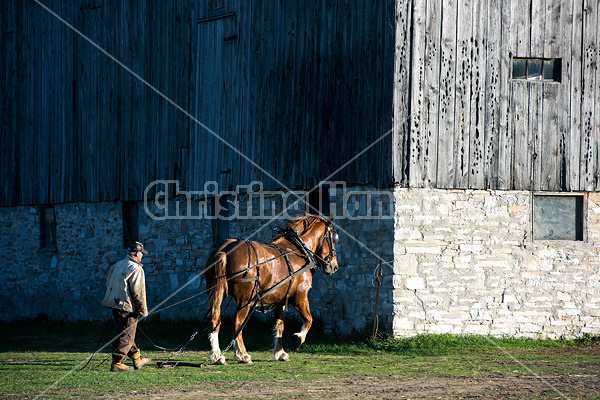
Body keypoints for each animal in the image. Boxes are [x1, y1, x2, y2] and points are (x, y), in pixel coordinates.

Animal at [205, 214, 338, 364]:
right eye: (333, 238)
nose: (335, 266)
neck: (298, 250)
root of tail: (224, 251)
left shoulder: (280, 300)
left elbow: (279, 325)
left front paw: (280, 352)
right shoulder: (300, 296)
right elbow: (309, 319)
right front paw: (297, 339)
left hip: (217, 293)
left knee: (215, 319)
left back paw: (217, 355)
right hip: (245, 299)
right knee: (237, 323)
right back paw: (242, 355)